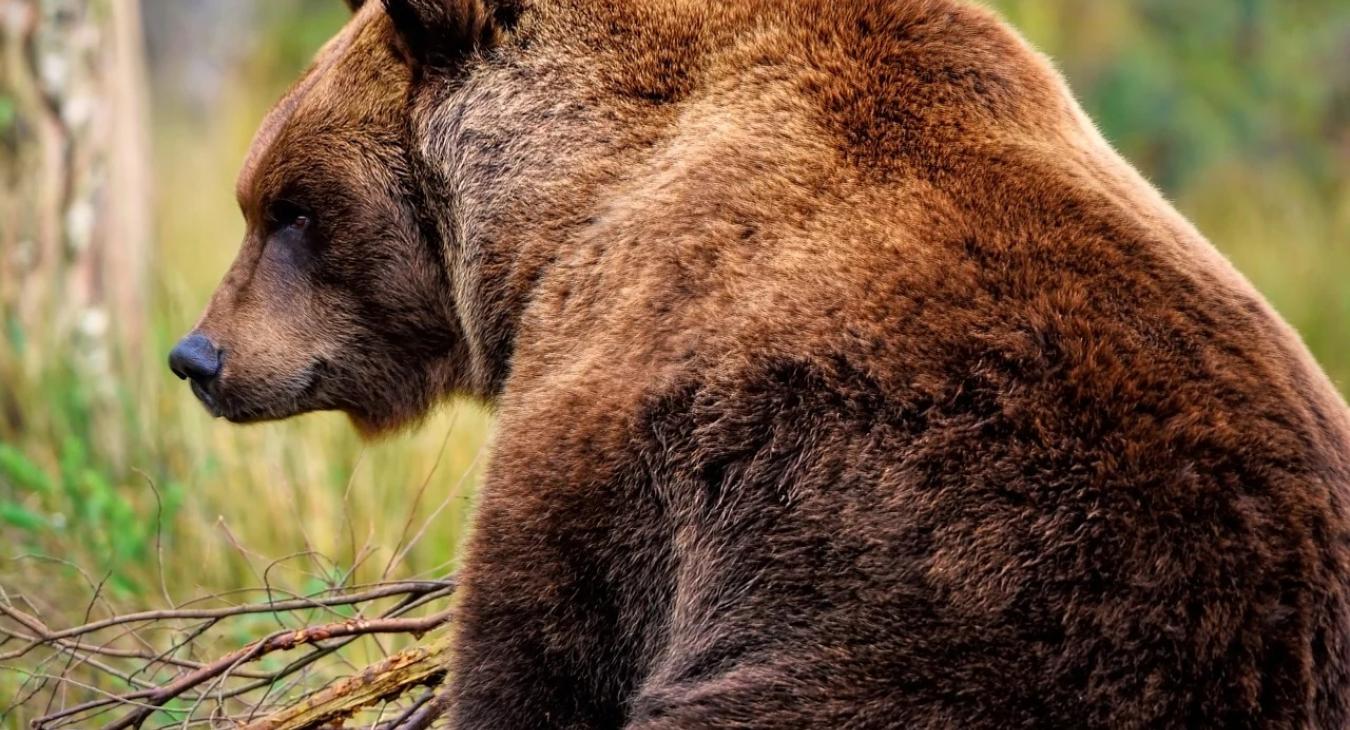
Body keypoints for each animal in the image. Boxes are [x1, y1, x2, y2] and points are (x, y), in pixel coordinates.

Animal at [171, 0, 1350, 723]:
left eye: (290, 206)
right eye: (261, 196)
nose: (197, 353)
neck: (566, 200)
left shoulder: (634, 409)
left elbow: (544, 643)